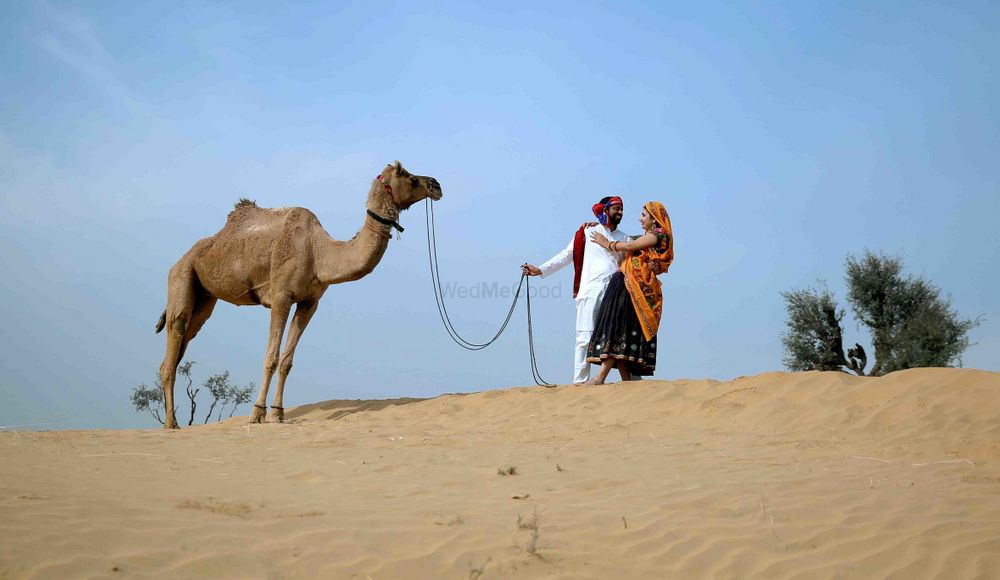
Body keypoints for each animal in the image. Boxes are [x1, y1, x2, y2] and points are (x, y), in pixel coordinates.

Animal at [153, 161, 442, 428]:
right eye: (409, 176)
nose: (436, 185)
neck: (319, 252)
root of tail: (180, 260)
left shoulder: (309, 301)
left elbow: (287, 360)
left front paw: (278, 413)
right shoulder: (281, 296)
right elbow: (271, 357)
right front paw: (257, 413)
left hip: (205, 298)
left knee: (184, 340)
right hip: (181, 277)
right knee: (175, 333)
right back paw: (171, 424)